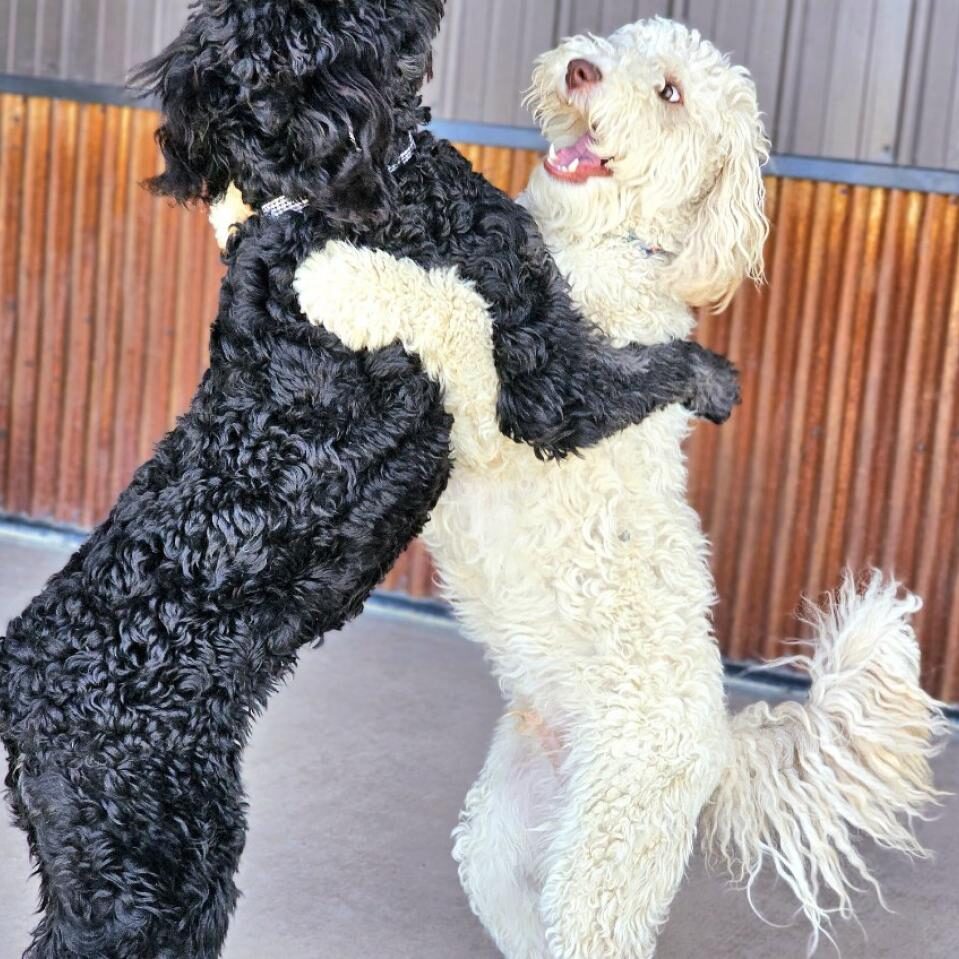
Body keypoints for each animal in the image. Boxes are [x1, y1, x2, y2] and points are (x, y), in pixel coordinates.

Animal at [0, 3, 744, 956]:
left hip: (98, 854)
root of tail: (24, 684)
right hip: (161, 859)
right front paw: (712, 379)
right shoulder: (544, 377)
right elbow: (639, 370)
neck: (305, 196)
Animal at [292, 16, 944, 959]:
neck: (591, 246)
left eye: (669, 92)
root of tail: (718, 743)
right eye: (618, 42)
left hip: (610, 849)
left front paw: (339, 275)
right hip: (503, 837)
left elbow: (455, 312)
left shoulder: (511, 426)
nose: (578, 69)